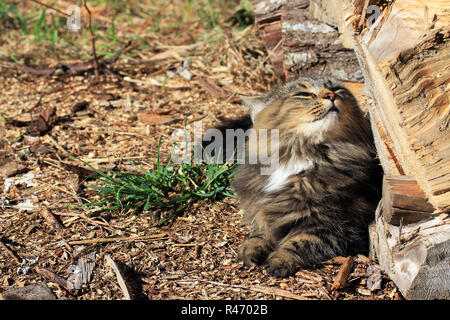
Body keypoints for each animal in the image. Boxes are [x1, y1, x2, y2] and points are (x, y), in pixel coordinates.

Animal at [232, 75, 384, 278]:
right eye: (304, 94)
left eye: (336, 89)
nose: (331, 95)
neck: (299, 155)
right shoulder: (264, 209)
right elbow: (259, 233)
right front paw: (250, 249)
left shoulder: (339, 227)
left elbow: (300, 243)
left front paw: (279, 261)